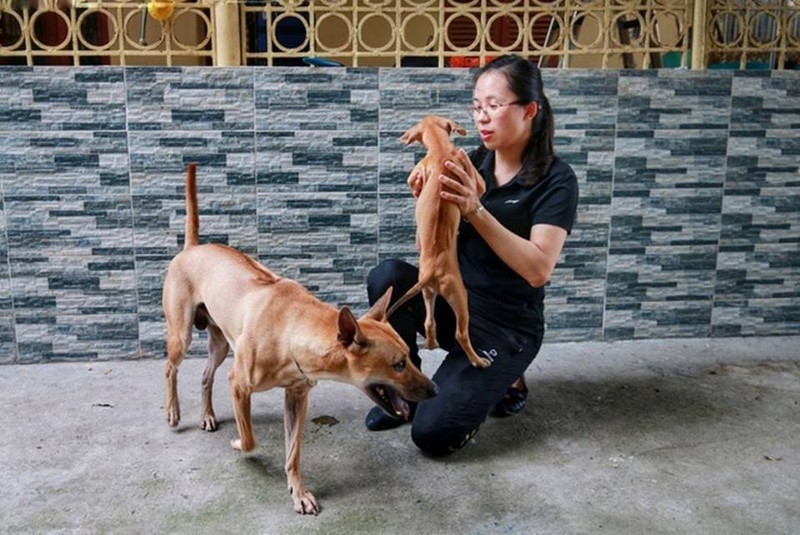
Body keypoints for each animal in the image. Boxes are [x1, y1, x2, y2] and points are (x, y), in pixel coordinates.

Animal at [162, 163, 438, 516]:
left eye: (410, 356)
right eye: (399, 364)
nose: (435, 390)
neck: (291, 330)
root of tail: (193, 248)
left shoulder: (297, 396)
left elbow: (293, 453)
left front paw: (299, 493)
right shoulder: (239, 383)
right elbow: (250, 440)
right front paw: (239, 443)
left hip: (220, 343)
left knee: (205, 375)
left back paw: (207, 415)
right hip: (181, 335)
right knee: (171, 369)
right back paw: (174, 413)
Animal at [386, 116, 490, 368]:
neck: (441, 151)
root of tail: (432, 272)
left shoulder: (418, 170)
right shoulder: (474, 180)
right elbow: (479, 188)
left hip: (428, 291)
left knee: (429, 322)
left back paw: (431, 343)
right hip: (460, 296)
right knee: (460, 334)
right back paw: (478, 361)